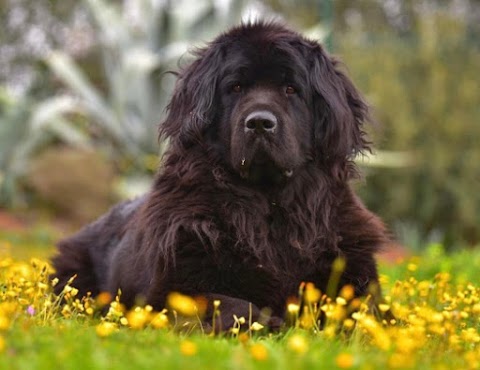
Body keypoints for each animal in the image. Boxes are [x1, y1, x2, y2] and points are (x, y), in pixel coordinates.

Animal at [52, 21, 390, 328]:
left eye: (291, 89)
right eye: (236, 87)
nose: (259, 123)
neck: (270, 206)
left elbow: (364, 312)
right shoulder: (171, 286)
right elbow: (235, 305)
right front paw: (273, 323)